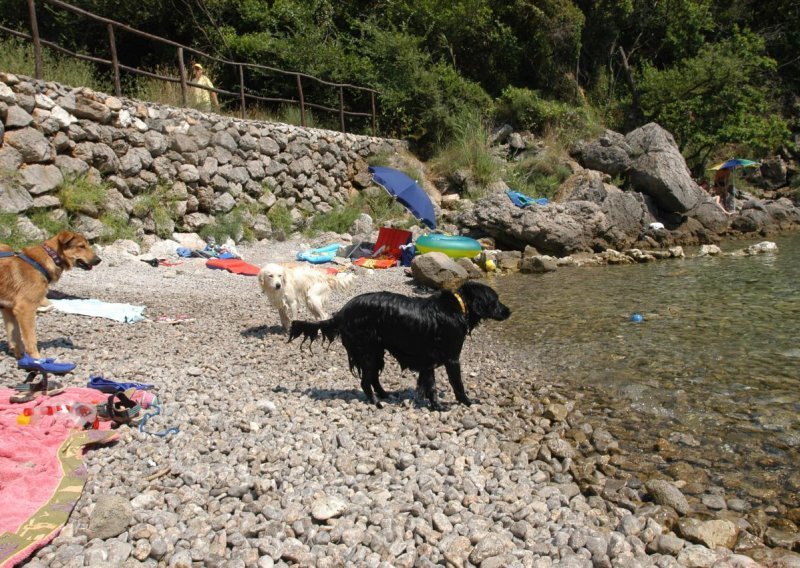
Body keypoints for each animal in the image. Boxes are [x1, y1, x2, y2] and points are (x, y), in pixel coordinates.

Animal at [0, 229, 101, 358]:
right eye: (81, 246)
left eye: (87, 245)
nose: (99, 260)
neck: (50, 257)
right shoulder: (25, 309)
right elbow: (31, 339)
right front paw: (36, 359)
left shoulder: (8, 309)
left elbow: (15, 337)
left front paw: (21, 357)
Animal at [290, 280, 510, 408]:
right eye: (496, 300)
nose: (509, 311)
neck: (458, 307)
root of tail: (343, 311)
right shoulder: (452, 358)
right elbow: (458, 384)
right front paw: (467, 402)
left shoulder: (427, 360)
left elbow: (430, 385)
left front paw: (436, 406)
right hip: (368, 351)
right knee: (365, 381)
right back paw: (376, 403)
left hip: (377, 351)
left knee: (373, 379)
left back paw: (385, 395)